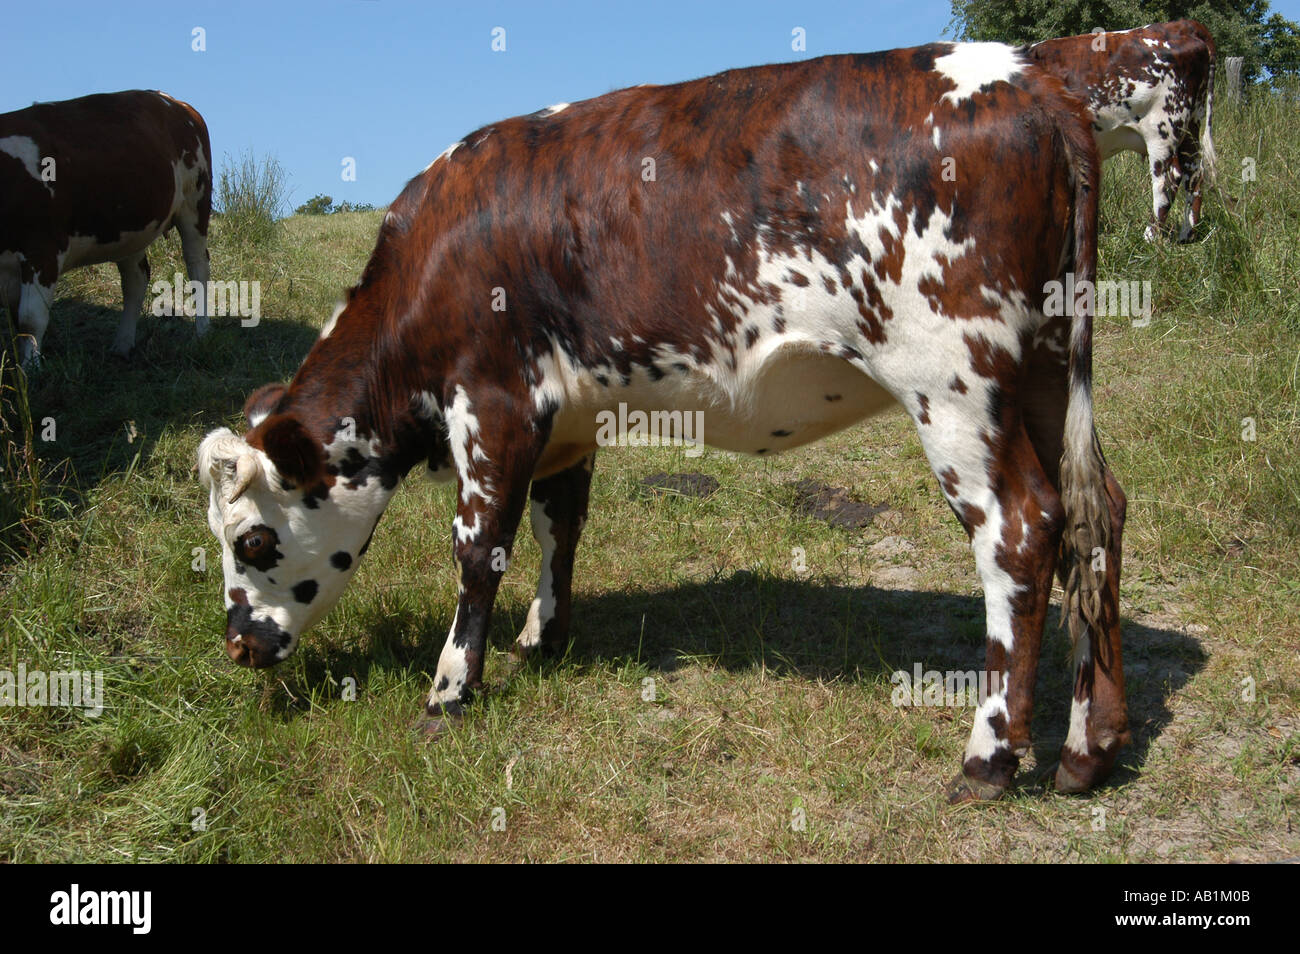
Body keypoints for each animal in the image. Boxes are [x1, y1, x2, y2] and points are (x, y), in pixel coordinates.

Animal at [0, 90, 212, 365]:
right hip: (131, 230)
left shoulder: (43, 249)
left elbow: (30, 319)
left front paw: (31, 368)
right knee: (136, 279)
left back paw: (202, 334)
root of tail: (173, 101)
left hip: (195, 202)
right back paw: (122, 345)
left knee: (198, 266)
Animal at [198, 42, 1130, 802]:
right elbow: (558, 529)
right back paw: (1091, 748)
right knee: (1098, 515)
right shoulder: (566, 423)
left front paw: (449, 691)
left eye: (252, 539)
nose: (237, 646)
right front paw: (543, 638)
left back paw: (989, 759)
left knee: (1021, 529)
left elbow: (478, 551)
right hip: (1047, 370)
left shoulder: (494, 405)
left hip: (955, 382)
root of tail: (1035, 82)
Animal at [1028, 20, 1217, 242]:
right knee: (1194, 173)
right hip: (1191, 124)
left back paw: (1150, 236)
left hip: (1163, 128)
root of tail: (1180, 25)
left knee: (1168, 179)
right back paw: (1187, 235)